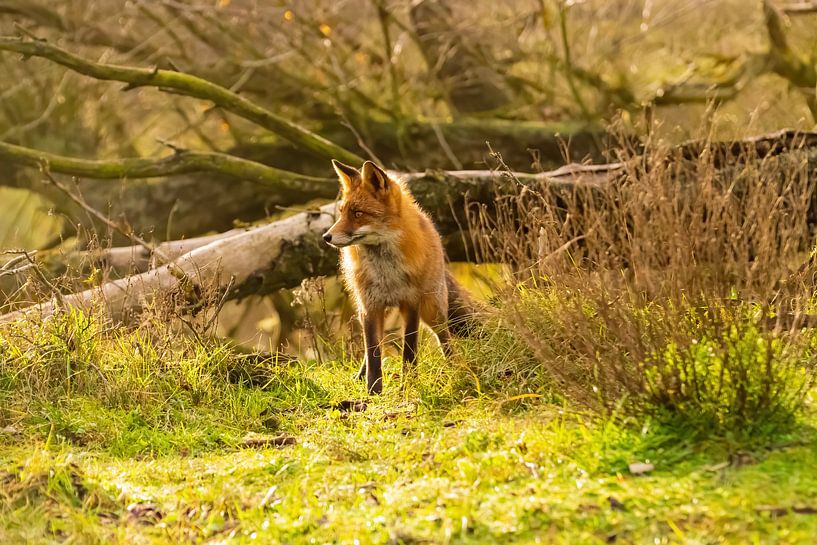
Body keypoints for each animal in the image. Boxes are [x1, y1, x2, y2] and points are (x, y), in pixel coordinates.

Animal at [322, 159, 474, 394]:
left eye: (358, 213)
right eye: (342, 213)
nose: (326, 237)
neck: (386, 273)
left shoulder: (411, 302)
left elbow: (409, 350)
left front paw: (408, 385)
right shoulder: (370, 306)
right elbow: (373, 352)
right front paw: (373, 391)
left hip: (433, 309)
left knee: (445, 338)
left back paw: (456, 368)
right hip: (370, 311)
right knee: (372, 347)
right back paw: (359, 376)